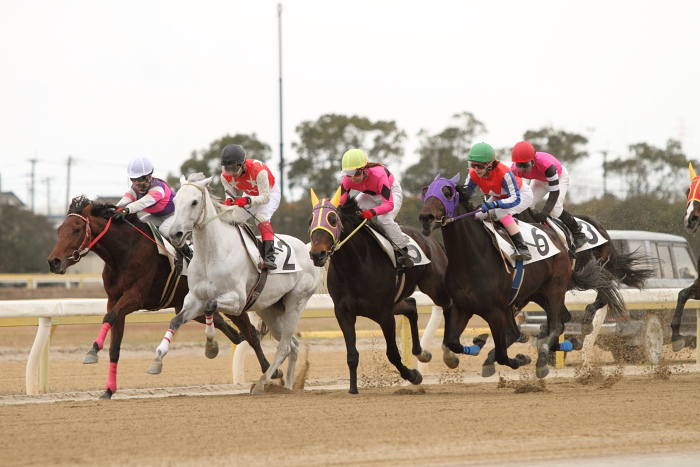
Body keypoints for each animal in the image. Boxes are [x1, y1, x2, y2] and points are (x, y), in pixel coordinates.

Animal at [46, 196, 274, 400]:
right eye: (58, 230)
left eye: (76, 229)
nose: (53, 262)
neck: (124, 252)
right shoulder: (115, 300)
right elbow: (115, 346)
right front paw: (108, 389)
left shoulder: (135, 297)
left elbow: (109, 317)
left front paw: (93, 350)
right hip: (188, 306)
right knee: (228, 326)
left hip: (235, 301)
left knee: (252, 335)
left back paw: (271, 373)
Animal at [150, 174, 322, 394]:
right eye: (175, 201)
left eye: (194, 202)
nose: (175, 234)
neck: (211, 254)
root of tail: (308, 249)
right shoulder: (193, 299)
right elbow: (175, 321)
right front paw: (157, 359)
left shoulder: (237, 301)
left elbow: (211, 306)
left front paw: (211, 346)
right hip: (271, 310)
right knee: (293, 344)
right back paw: (289, 386)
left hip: (296, 303)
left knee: (284, 346)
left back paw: (262, 382)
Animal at [308, 188, 474, 394]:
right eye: (310, 221)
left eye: (332, 219)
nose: (317, 254)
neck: (354, 267)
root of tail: (430, 239)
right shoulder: (343, 312)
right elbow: (352, 354)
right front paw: (353, 388)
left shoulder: (384, 313)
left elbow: (393, 353)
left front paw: (413, 375)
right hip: (396, 301)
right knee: (411, 306)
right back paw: (421, 352)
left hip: (434, 287)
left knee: (448, 306)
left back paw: (448, 354)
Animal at [418, 174, 628, 378]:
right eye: (426, 192)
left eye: (447, 193)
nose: (425, 217)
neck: (472, 258)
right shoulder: (463, 306)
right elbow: (453, 343)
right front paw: (469, 350)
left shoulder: (496, 310)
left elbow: (503, 352)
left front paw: (518, 359)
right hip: (536, 293)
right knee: (559, 320)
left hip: (557, 287)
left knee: (560, 322)